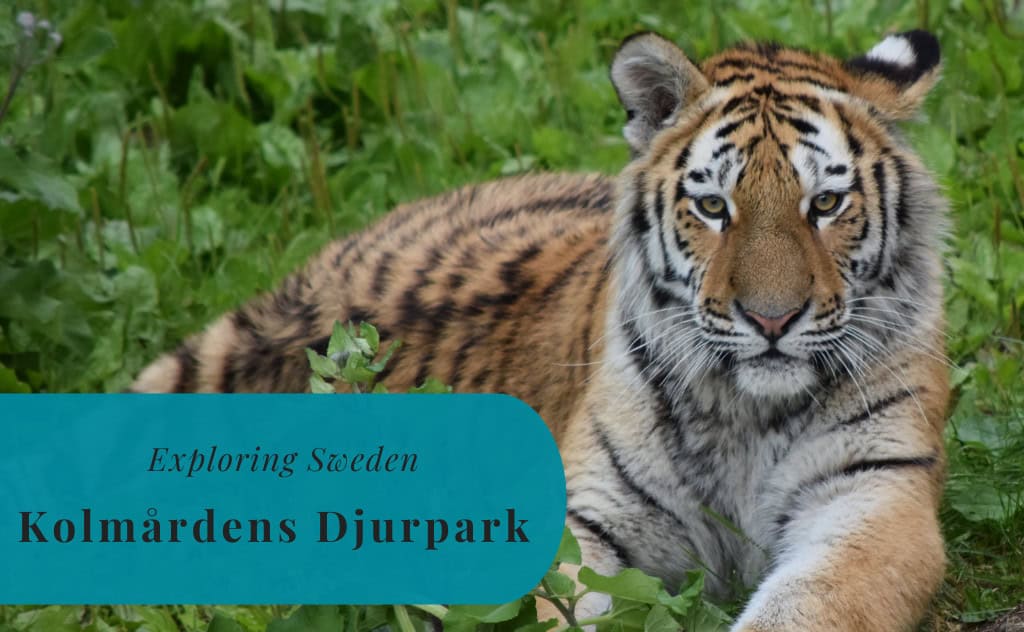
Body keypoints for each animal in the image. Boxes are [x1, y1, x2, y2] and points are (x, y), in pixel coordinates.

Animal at [132, 29, 950, 631]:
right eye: (715, 207)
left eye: (826, 204)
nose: (771, 319)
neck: (747, 410)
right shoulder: (586, 520)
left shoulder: (876, 496)